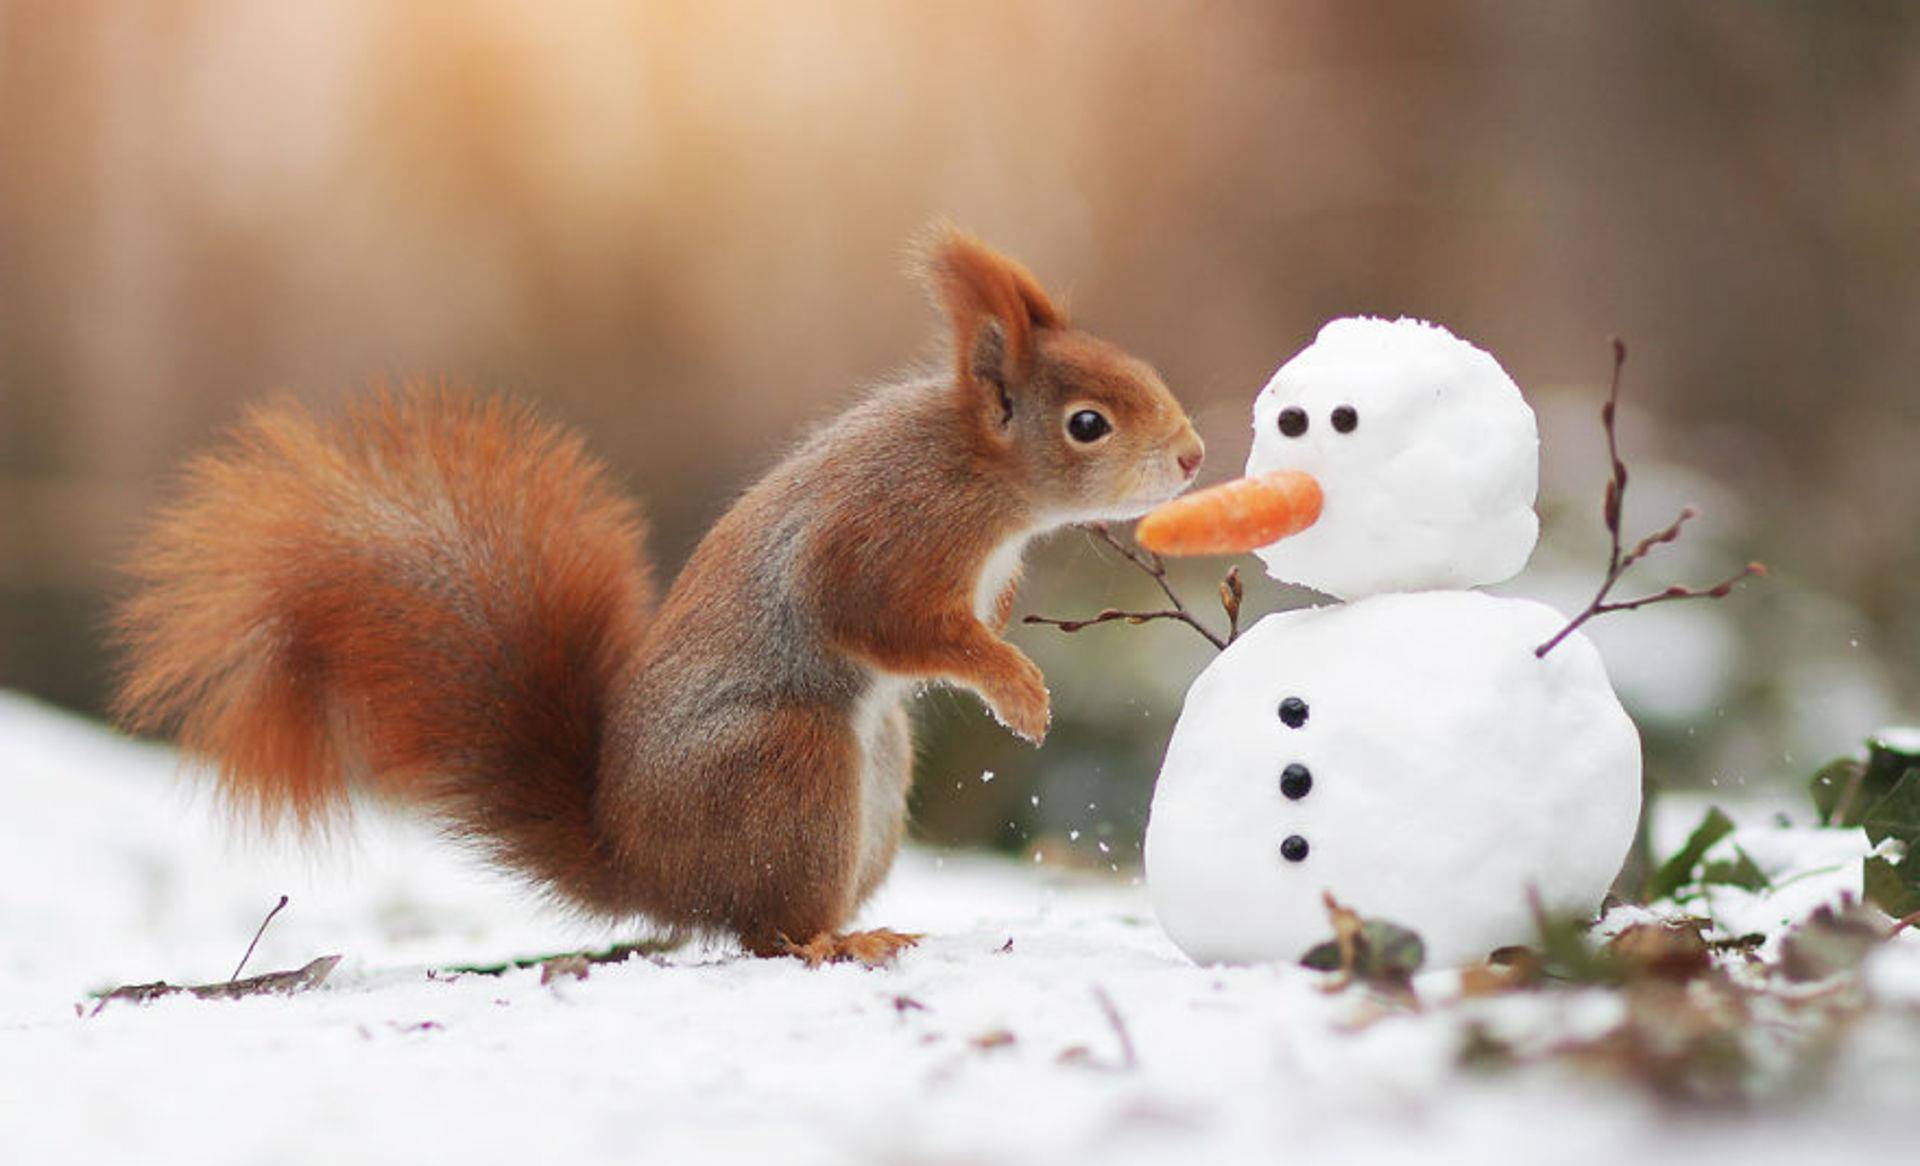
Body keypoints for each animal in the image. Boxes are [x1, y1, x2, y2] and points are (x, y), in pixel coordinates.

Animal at [112, 230, 1198, 968]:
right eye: (1088, 424)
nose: (1191, 457)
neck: (980, 475)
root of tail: (651, 872)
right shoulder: (885, 534)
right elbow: (879, 620)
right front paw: (1015, 686)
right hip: (789, 759)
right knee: (763, 930)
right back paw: (832, 942)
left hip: (876, 773)